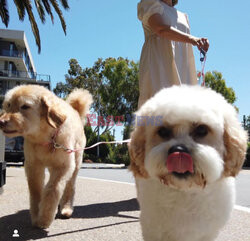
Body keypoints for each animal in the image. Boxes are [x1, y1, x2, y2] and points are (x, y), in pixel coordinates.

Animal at [0, 85, 92, 229]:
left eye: (25, 106)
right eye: (8, 105)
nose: (1, 121)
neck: (45, 138)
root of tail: (75, 111)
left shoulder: (63, 166)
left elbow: (52, 190)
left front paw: (45, 218)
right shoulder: (33, 165)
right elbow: (35, 190)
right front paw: (36, 214)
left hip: (76, 163)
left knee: (70, 187)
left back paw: (66, 208)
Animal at [129, 84, 248, 241]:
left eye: (202, 129)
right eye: (163, 131)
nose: (178, 150)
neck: (185, 191)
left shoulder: (207, 234)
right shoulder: (153, 230)